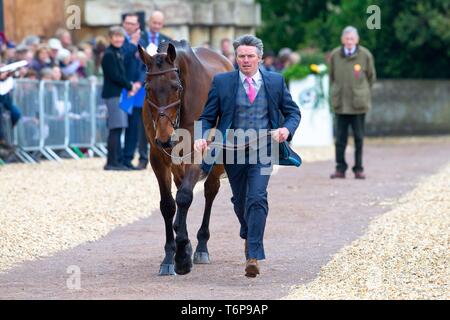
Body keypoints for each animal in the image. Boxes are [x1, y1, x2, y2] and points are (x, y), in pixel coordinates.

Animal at [139, 40, 234, 276]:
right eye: (148, 88)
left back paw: (201, 246)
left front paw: (182, 255)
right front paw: (170, 256)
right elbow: (168, 205)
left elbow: (184, 197)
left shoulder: (198, 151)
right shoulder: (158, 157)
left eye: (177, 87)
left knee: (210, 191)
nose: (165, 138)